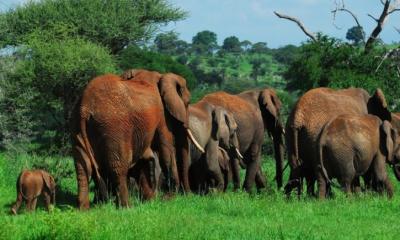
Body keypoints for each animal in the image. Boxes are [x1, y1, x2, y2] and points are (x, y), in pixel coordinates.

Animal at [70, 70, 205, 209]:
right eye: (188, 103)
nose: (189, 196)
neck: (162, 76)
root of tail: (85, 108)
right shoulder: (162, 115)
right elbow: (165, 150)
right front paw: (168, 199)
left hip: (77, 126)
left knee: (82, 167)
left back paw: (84, 209)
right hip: (114, 127)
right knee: (119, 167)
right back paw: (126, 208)